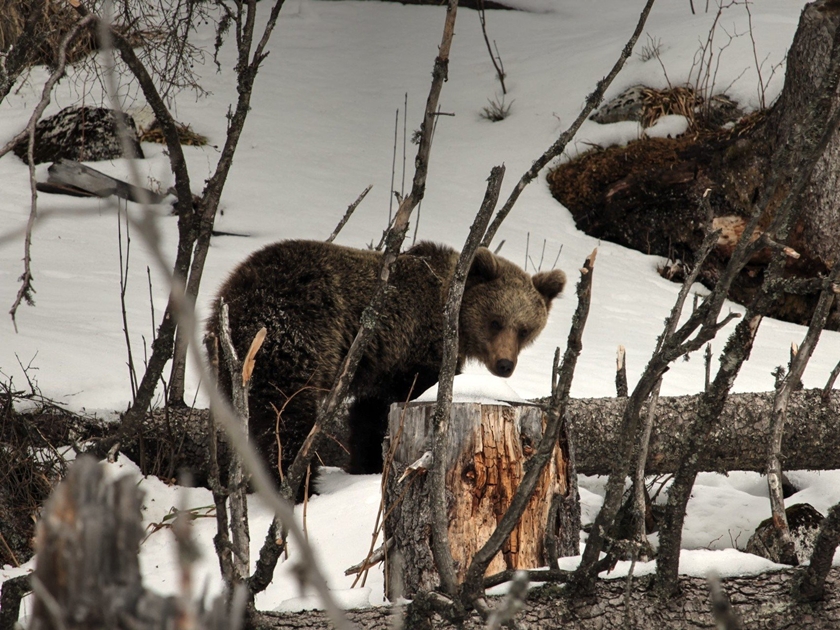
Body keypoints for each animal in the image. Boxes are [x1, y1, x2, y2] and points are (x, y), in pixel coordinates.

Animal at [208, 239, 568, 492]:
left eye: (524, 329)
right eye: (495, 322)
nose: (505, 364)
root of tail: (236, 295)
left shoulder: (384, 361)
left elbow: (369, 414)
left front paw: (365, 463)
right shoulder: (416, 348)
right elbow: (408, 395)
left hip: (229, 359)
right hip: (295, 336)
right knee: (286, 418)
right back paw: (298, 486)